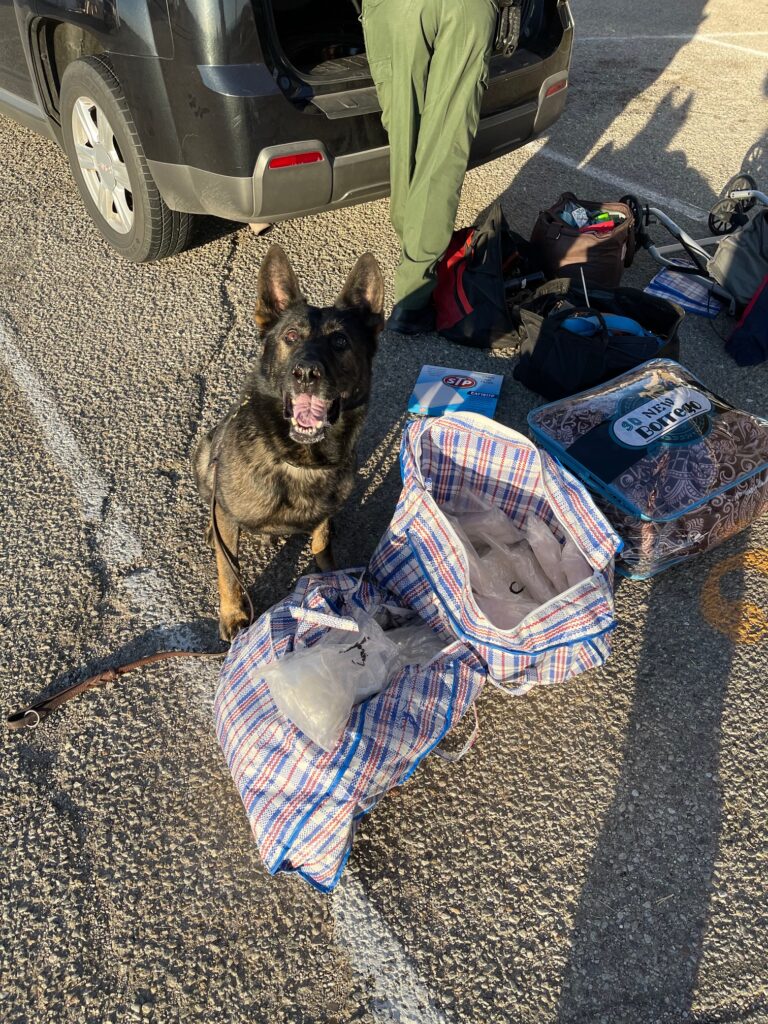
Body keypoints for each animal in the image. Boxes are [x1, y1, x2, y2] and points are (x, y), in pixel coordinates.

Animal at [193, 244, 384, 641]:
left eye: (340, 341)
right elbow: (228, 572)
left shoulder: (324, 514)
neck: (299, 460)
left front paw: (331, 582)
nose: (307, 373)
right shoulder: (229, 518)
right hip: (204, 453)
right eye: (291, 336)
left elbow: (322, 542)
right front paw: (234, 614)